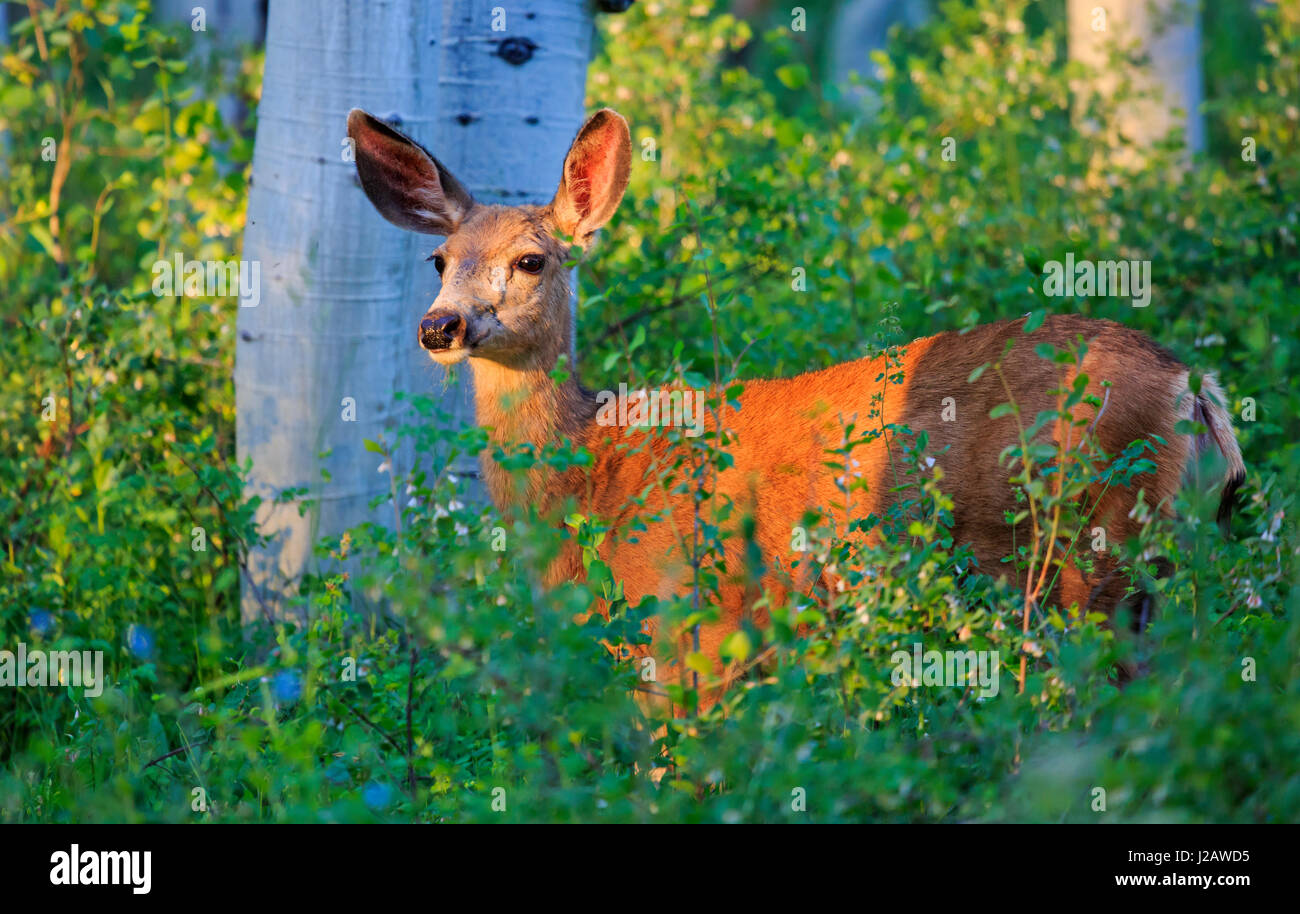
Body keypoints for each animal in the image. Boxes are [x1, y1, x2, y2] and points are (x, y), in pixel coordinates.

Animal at [346, 106, 1245, 704]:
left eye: (532, 260)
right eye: (439, 259)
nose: (441, 326)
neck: (592, 480)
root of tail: (1193, 386)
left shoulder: (689, 622)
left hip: (1096, 542)